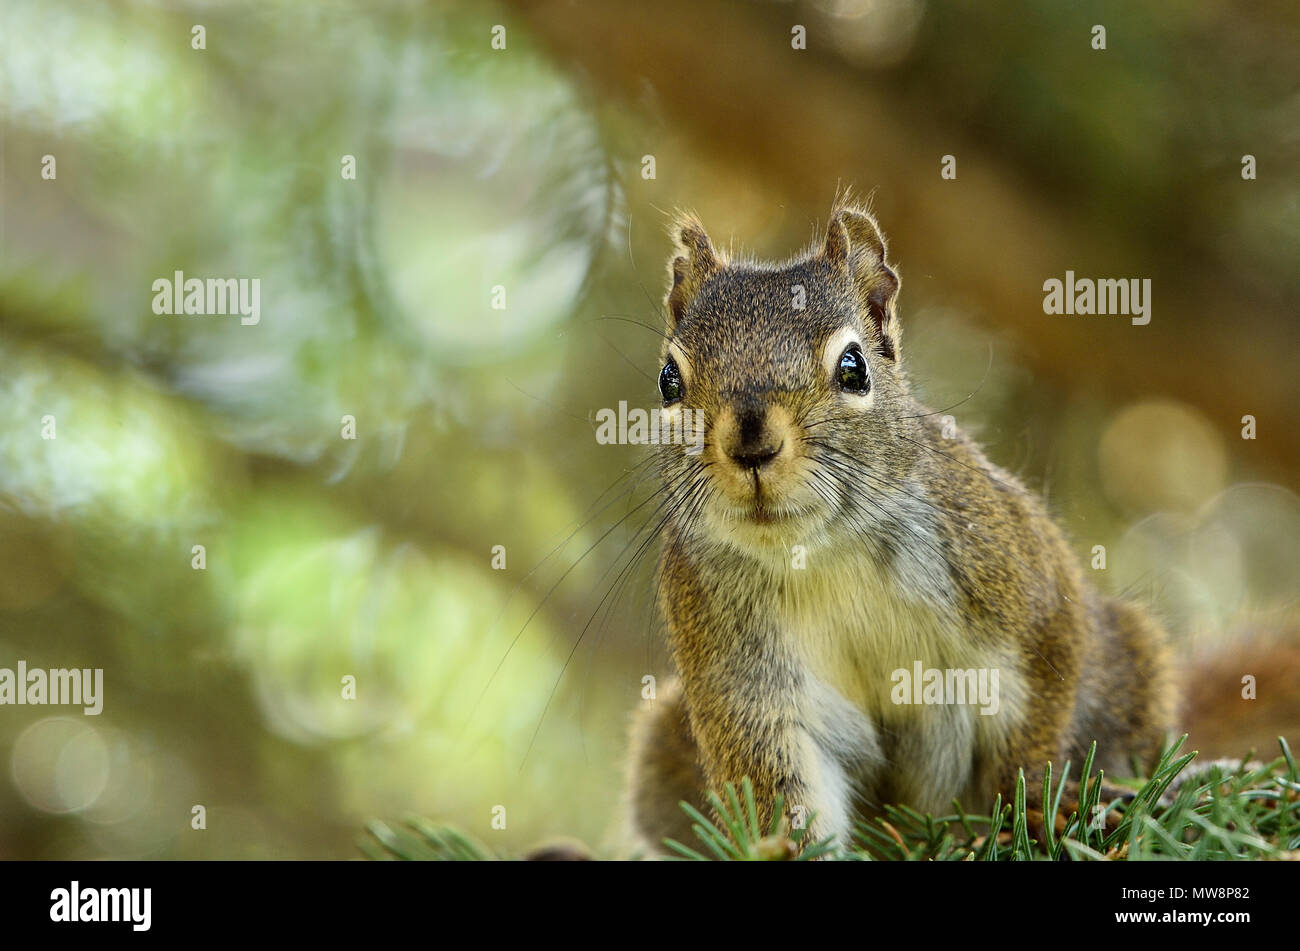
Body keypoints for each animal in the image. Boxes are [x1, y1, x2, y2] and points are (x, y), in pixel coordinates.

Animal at [624, 200, 1185, 852]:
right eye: (668, 380)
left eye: (854, 367)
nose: (751, 445)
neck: (820, 552)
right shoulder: (738, 672)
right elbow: (784, 789)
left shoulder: (1014, 583)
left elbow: (1033, 717)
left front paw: (1032, 811)